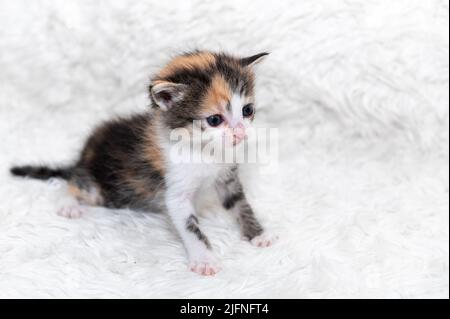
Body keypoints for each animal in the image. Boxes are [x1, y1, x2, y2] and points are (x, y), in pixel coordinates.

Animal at [9, 51, 278, 276]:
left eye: (247, 110)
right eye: (214, 120)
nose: (241, 134)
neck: (204, 151)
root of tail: (83, 157)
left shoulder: (227, 177)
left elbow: (241, 204)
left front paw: (258, 234)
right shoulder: (175, 192)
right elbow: (190, 227)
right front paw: (204, 259)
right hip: (97, 187)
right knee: (73, 183)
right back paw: (69, 204)